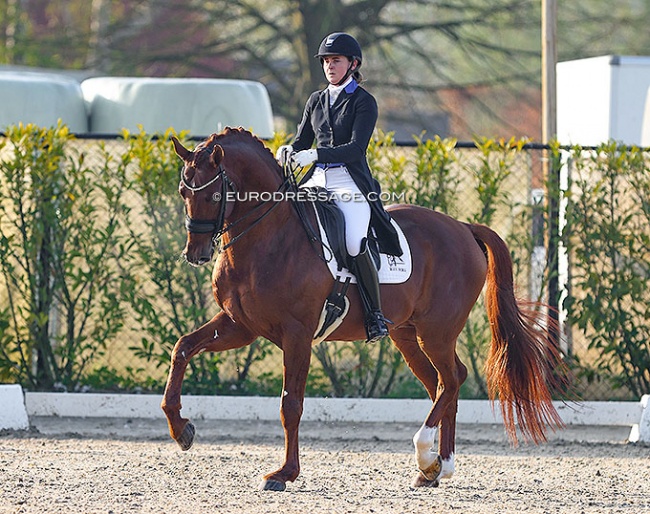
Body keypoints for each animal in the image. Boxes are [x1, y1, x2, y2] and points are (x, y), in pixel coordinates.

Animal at [159, 127, 564, 488]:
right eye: (182, 191)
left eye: (214, 194)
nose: (196, 254)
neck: (268, 237)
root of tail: (463, 227)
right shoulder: (239, 326)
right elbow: (182, 348)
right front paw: (182, 430)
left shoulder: (297, 335)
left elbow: (291, 405)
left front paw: (284, 474)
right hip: (407, 335)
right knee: (440, 384)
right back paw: (435, 468)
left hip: (437, 332)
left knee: (452, 380)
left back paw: (428, 456)